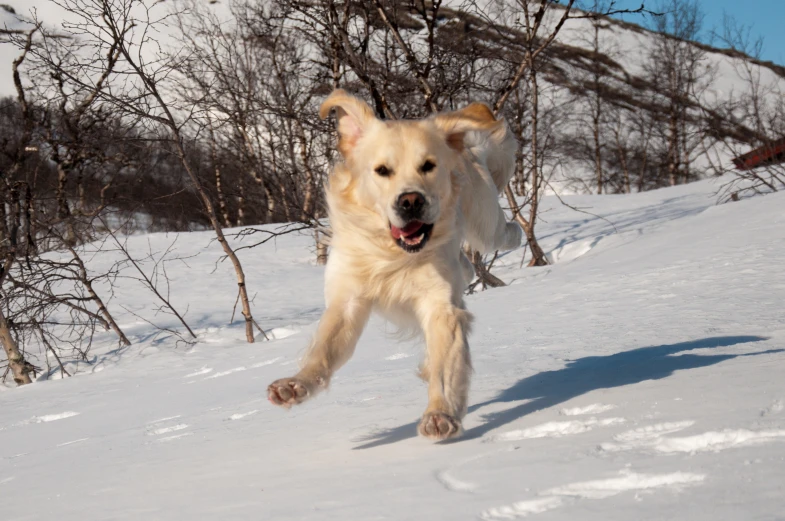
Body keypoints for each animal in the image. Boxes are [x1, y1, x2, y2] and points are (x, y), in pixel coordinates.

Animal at [268, 90, 520, 438]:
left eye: (428, 166)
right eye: (382, 170)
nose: (411, 201)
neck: (393, 254)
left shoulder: (441, 305)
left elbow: (446, 366)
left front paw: (440, 414)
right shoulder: (347, 299)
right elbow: (323, 351)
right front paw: (294, 385)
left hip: (485, 219)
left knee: (502, 233)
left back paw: (517, 232)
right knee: (467, 267)